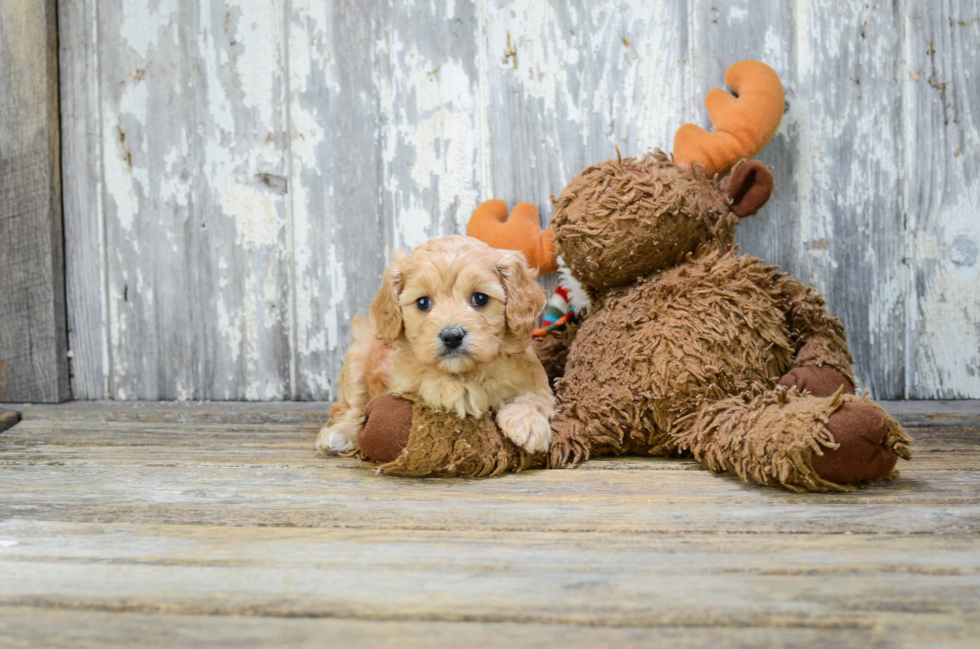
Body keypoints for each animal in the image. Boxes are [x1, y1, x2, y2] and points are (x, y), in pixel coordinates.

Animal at [318, 234, 556, 456]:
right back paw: (339, 434)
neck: (469, 371)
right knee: (351, 407)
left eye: (480, 298)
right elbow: (425, 375)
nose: (452, 336)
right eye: (423, 302)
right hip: (357, 357)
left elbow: (535, 398)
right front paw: (460, 391)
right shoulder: (401, 381)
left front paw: (527, 422)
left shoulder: (534, 380)